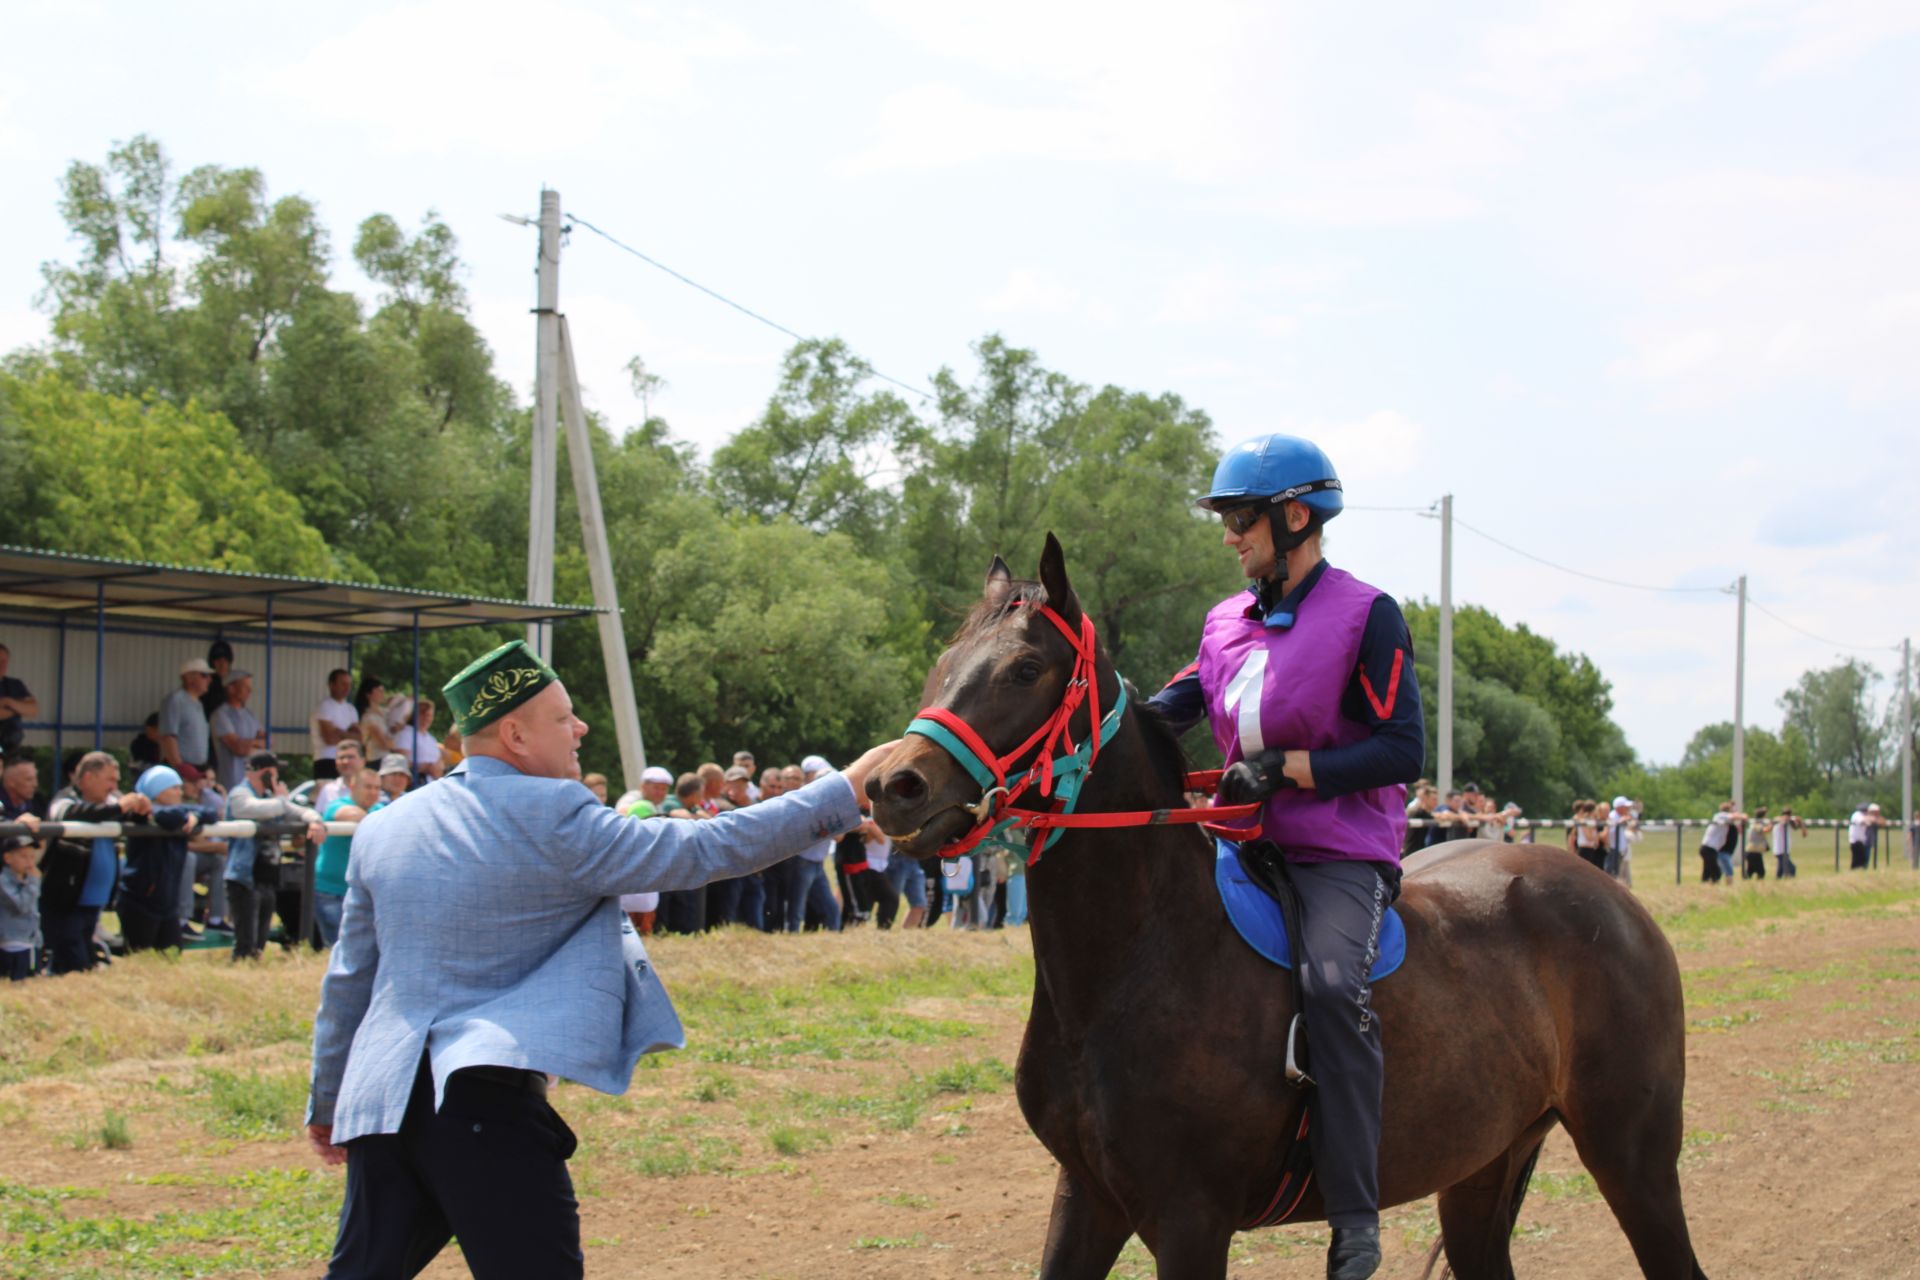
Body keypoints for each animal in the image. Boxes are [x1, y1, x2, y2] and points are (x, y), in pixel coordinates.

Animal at [871, 537, 1712, 1280]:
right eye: (941, 666)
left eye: (1025, 668)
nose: (892, 786)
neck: (1139, 961)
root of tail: (1614, 898)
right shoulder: (1087, 1198)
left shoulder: (1189, 1220)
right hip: (1484, 1166)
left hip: (1634, 1159)